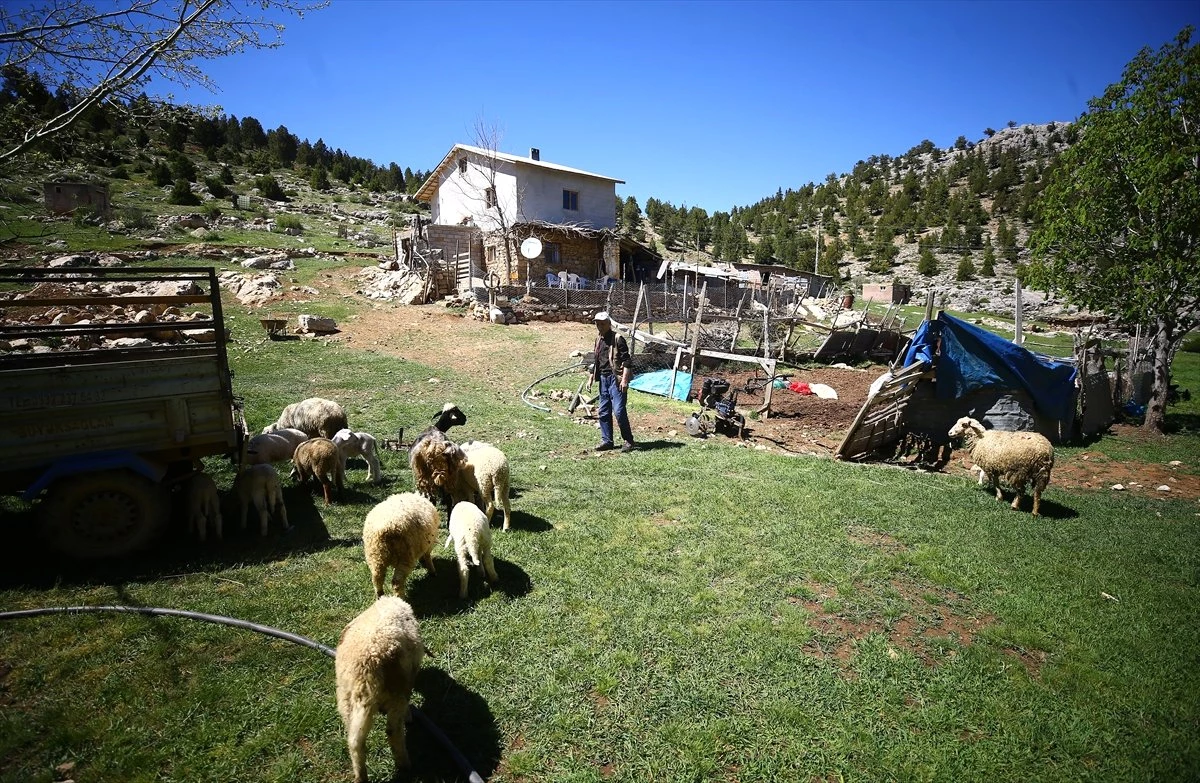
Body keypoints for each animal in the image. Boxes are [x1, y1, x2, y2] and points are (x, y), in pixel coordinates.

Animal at [336, 595, 429, 778]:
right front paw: (409, 716)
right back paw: (405, 764)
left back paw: (361, 776)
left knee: (354, 742)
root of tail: (365, 673)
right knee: (393, 731)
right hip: (396, 694)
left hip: (346, 701)